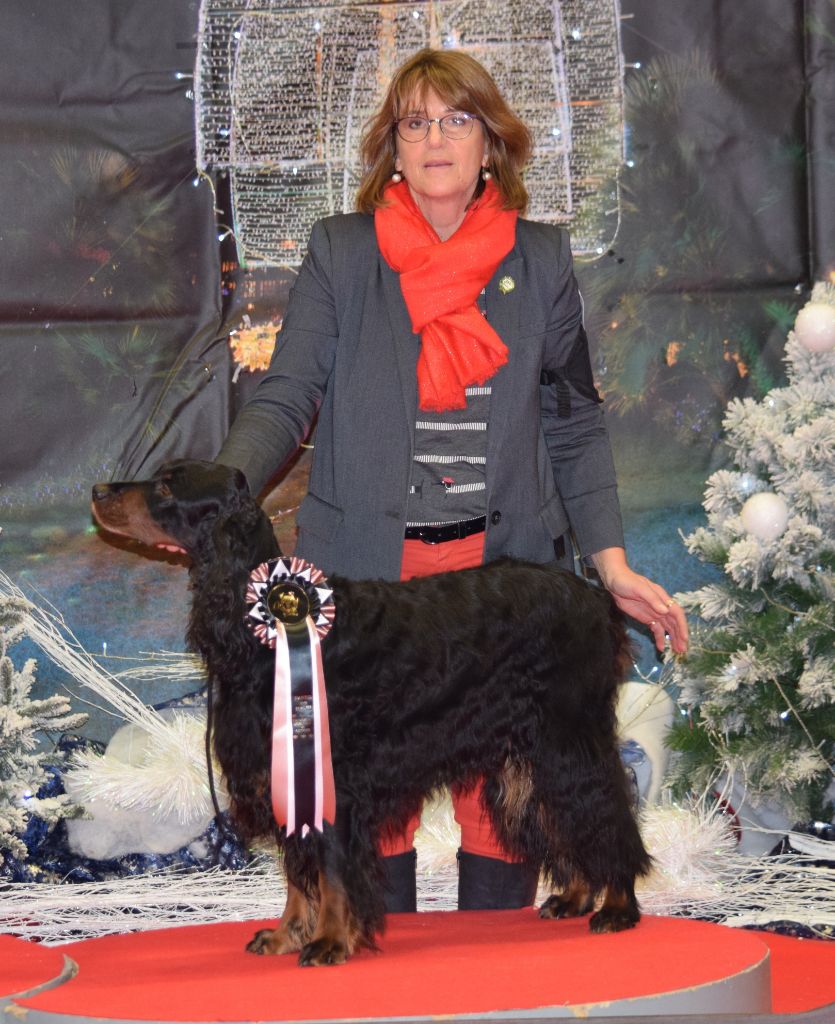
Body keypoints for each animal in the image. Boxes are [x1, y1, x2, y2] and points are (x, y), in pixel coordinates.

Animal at [92, 459, 651, 966]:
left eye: (168, 486)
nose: (98, 490)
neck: (264, 620)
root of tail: (595, 596)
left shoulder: (331, 772)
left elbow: (332, 870)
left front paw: (329, 941)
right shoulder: (286, 770)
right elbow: (298, 870)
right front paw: (287, 934)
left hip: (567, 735)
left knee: (604, 810)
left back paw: (617, 906)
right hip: (531, 748)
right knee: (563, 814)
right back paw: (576, 897)